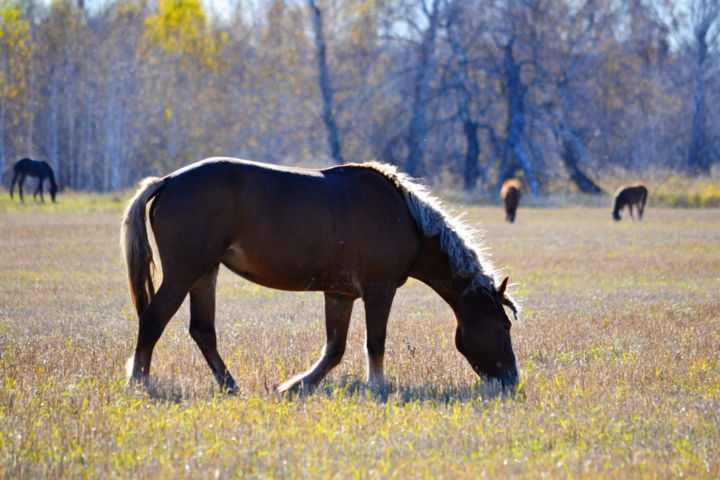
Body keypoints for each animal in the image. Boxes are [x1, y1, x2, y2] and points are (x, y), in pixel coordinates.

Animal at [122, 158, 516, 394]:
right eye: (503, 326)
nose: (512, 380)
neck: (407, 220)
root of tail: (168, 180)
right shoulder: (379, 290)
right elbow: (375, 343)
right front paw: (377, 388)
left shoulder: (340, 295)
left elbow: (334, 350)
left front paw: (295, 387)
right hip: (184, 273)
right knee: (153, 319)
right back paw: (138, 382)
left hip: (205, 273)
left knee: (202, 330)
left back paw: (230, 386)